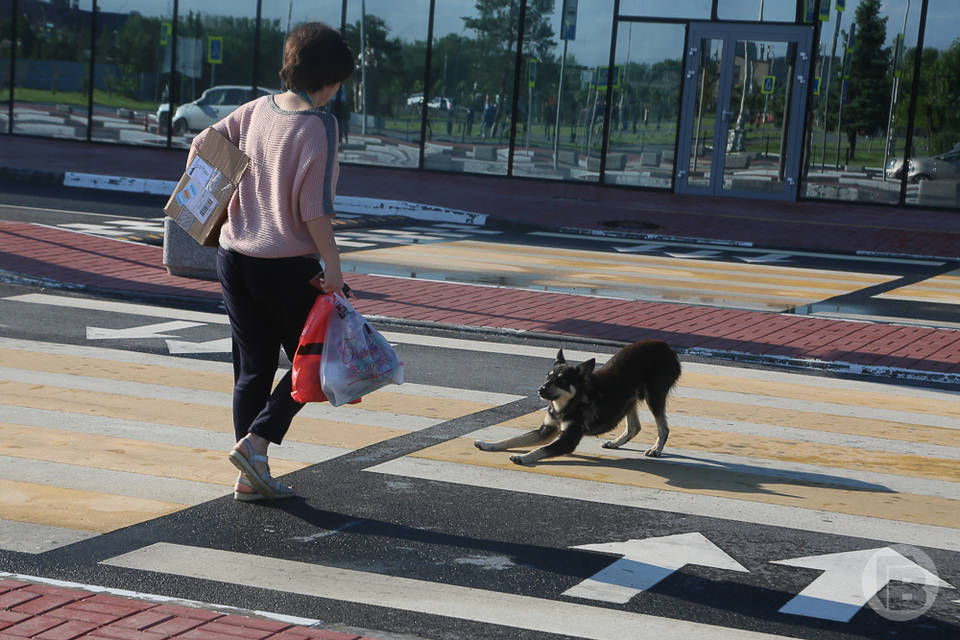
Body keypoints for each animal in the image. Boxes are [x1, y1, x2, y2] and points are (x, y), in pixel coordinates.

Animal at [476, 342, 680, 462]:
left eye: (561, 381)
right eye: (548, 376)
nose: (540, 390)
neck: (567, 404)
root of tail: (667, 347)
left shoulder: (567, 440)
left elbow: (542, 449)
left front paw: (524, 457)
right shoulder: (545, 430)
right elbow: (512, 439)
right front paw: (488, 444)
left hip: (654, 395)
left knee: (663, 427)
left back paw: (656, 449)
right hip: (629, 398)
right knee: (634, 427)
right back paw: (615, 443)